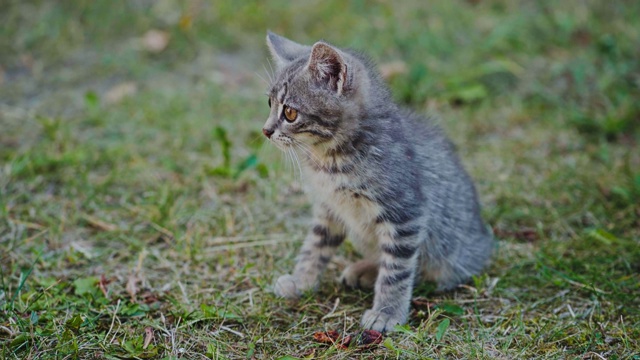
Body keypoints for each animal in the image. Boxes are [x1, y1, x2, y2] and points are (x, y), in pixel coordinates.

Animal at [262, 31, 492, 332]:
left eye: (289, 112)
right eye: (269, 104)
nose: (265, 130)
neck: (330, 161)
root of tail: (483, 237)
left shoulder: (405, 214)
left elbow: (397, 269)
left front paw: (387, 313)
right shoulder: (329, 208)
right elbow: (315, 246)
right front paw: (301, 281)